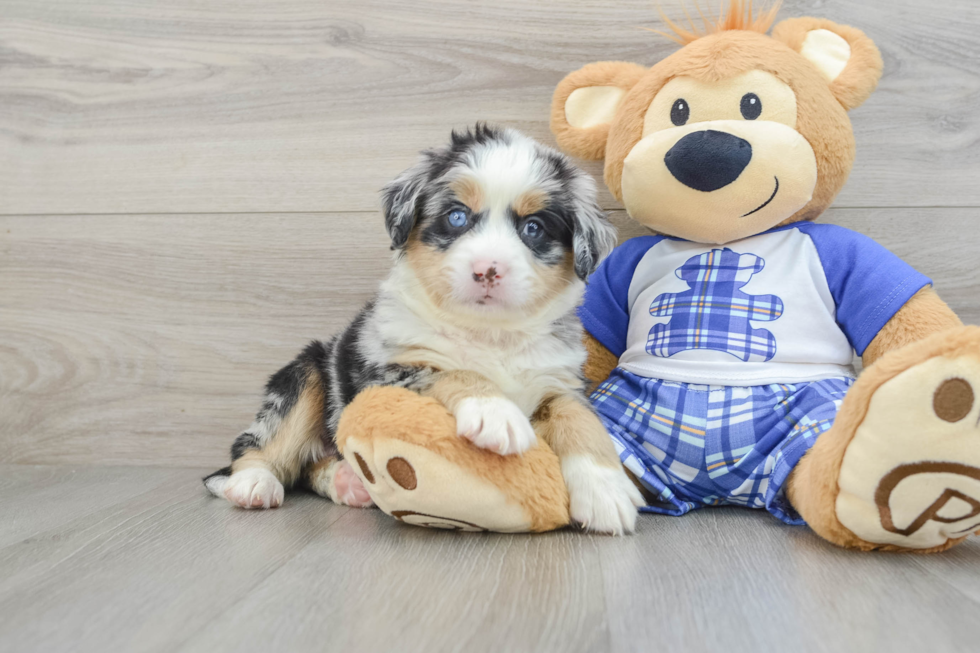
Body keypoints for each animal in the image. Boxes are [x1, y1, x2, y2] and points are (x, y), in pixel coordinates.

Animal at [201, 125, 644, 532]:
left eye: (533, 227)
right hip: (306, 373)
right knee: (256, 445)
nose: (487, 270)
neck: (490, 334)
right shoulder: (386, 372)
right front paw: (494, 412)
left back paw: (348, 481)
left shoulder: (561, 382)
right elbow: (454, 371)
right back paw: (254, 483)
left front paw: (605, 490)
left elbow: (581, 421)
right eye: (457, 216)